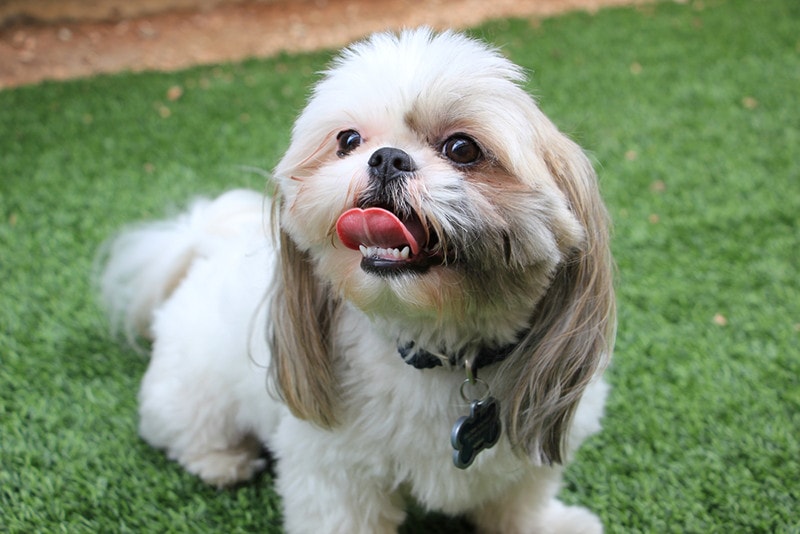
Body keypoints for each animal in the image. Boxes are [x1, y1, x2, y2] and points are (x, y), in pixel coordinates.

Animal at [100, 28, 620, 534]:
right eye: (348, 140)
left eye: (462, 148)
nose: (387, 158)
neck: (437, 350)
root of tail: (205, 245)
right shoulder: (333, 471)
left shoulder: (528, 457)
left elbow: (520, 504)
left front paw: (551, 524)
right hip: (193, 392)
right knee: (186, 430)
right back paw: (222, 462)